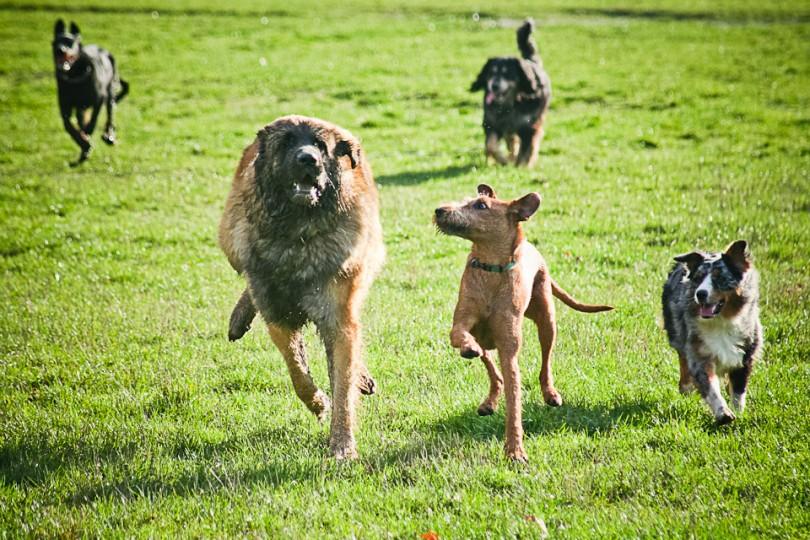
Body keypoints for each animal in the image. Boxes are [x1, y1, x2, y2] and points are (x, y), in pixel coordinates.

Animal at [52, 19, 128, 165]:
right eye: (55, 42)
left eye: (70, 42)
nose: (60, 50)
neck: (75, 77)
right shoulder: (65, 109)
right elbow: (70, 127)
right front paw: (84, 143)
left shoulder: (99, 100)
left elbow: (93, 121)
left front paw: (88, 138)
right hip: (80, 108)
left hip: (110, 91)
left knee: (110, 116)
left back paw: (109, 136)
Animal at [218, 115, 386, 460]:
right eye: (286, 143)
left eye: (321, 145)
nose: (308, 159)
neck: (298, 233)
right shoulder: (277, 314)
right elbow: (298, 372)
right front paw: (319, 403)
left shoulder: (339, 316)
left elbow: (343, 380)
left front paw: (342, 444)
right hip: (231, 241)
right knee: (248, 279)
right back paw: (239, 317)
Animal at [432, 185, 608, 460]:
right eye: (464, 200)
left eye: (481, 206)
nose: (439, 210)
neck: (491, 268)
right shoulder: (464, 320)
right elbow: (458, 334)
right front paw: (467, 347)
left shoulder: (509, 349)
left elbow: (514, 404)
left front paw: (515, 451)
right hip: (490, 339)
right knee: (491, 370)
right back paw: (489, 400)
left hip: (546, 320)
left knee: (545, 363)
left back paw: (550, 393)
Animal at [468, 18, 548, 167]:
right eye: (491, 72)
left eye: (507, 74)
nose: (494, 86)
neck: (511, 103)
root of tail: (530, 61)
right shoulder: (493, 123)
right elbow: (491, 146)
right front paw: (503, 160)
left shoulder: (529, 127)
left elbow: (526, 150)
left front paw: (521, 166)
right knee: (512, 142)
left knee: (532, 143)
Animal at [660, 242, 760, 426]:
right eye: (698, 278)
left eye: (719, 277)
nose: (700, 294)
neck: (721, 321)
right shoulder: (698, 353)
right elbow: (710, 387)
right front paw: (723, 413)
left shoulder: (745, 352)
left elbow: (738, 390)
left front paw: (738, 411)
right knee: (683, 362)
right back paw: (686, 386)